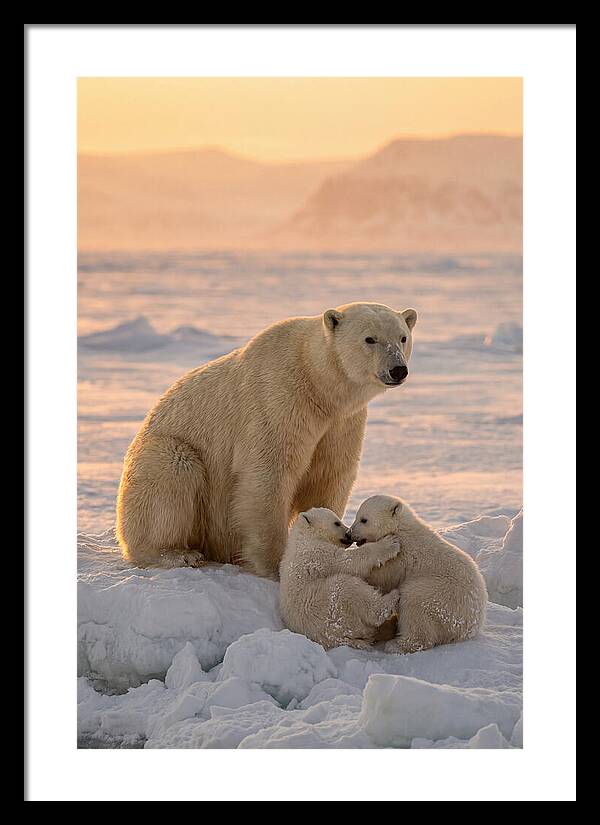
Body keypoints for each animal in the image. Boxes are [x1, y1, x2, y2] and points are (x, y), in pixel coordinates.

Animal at [116, 302, 417, 577]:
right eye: (370, 338)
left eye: (402, 337)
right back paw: (178, 553)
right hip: (163, 454)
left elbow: (329, 474)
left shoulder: (341, 422)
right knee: (172, 472)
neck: (318, 384)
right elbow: (269, 474)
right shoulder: (278, 400)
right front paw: (276, 565)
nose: (398, 369)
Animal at [279, 507, 402, 650]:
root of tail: (340, 639)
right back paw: (393, 597)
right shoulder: (318, 554)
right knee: (349, 589)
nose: (348, 534)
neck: (304, 537)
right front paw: (390, 543)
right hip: (329, 607)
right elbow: (348, 561)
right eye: (337, 523)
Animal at [350, 495, 488, 653]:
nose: (349, 533)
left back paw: (396, 645)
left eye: (364, 519)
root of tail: (470, 627)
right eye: (357, 516)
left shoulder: (400, 558)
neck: (400, 528)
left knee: (414, 603)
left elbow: (381, 577)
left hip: (440, 596)